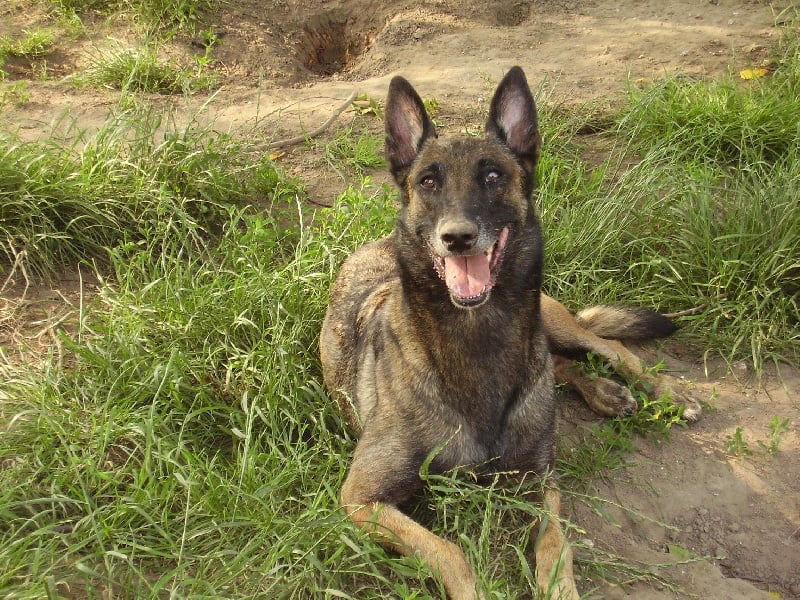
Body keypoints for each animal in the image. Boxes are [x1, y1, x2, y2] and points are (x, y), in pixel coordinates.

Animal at [318, 67, 700, 600]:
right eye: (428, 180)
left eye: (493, 176)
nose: (457, 237)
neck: (478, 340)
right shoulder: (361, 498)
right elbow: (451, 553)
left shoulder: (541, 479)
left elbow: (556, 547)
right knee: (560, 364)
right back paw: (604, 392)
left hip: (552, 319)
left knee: (607, 347)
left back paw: (664, 391)